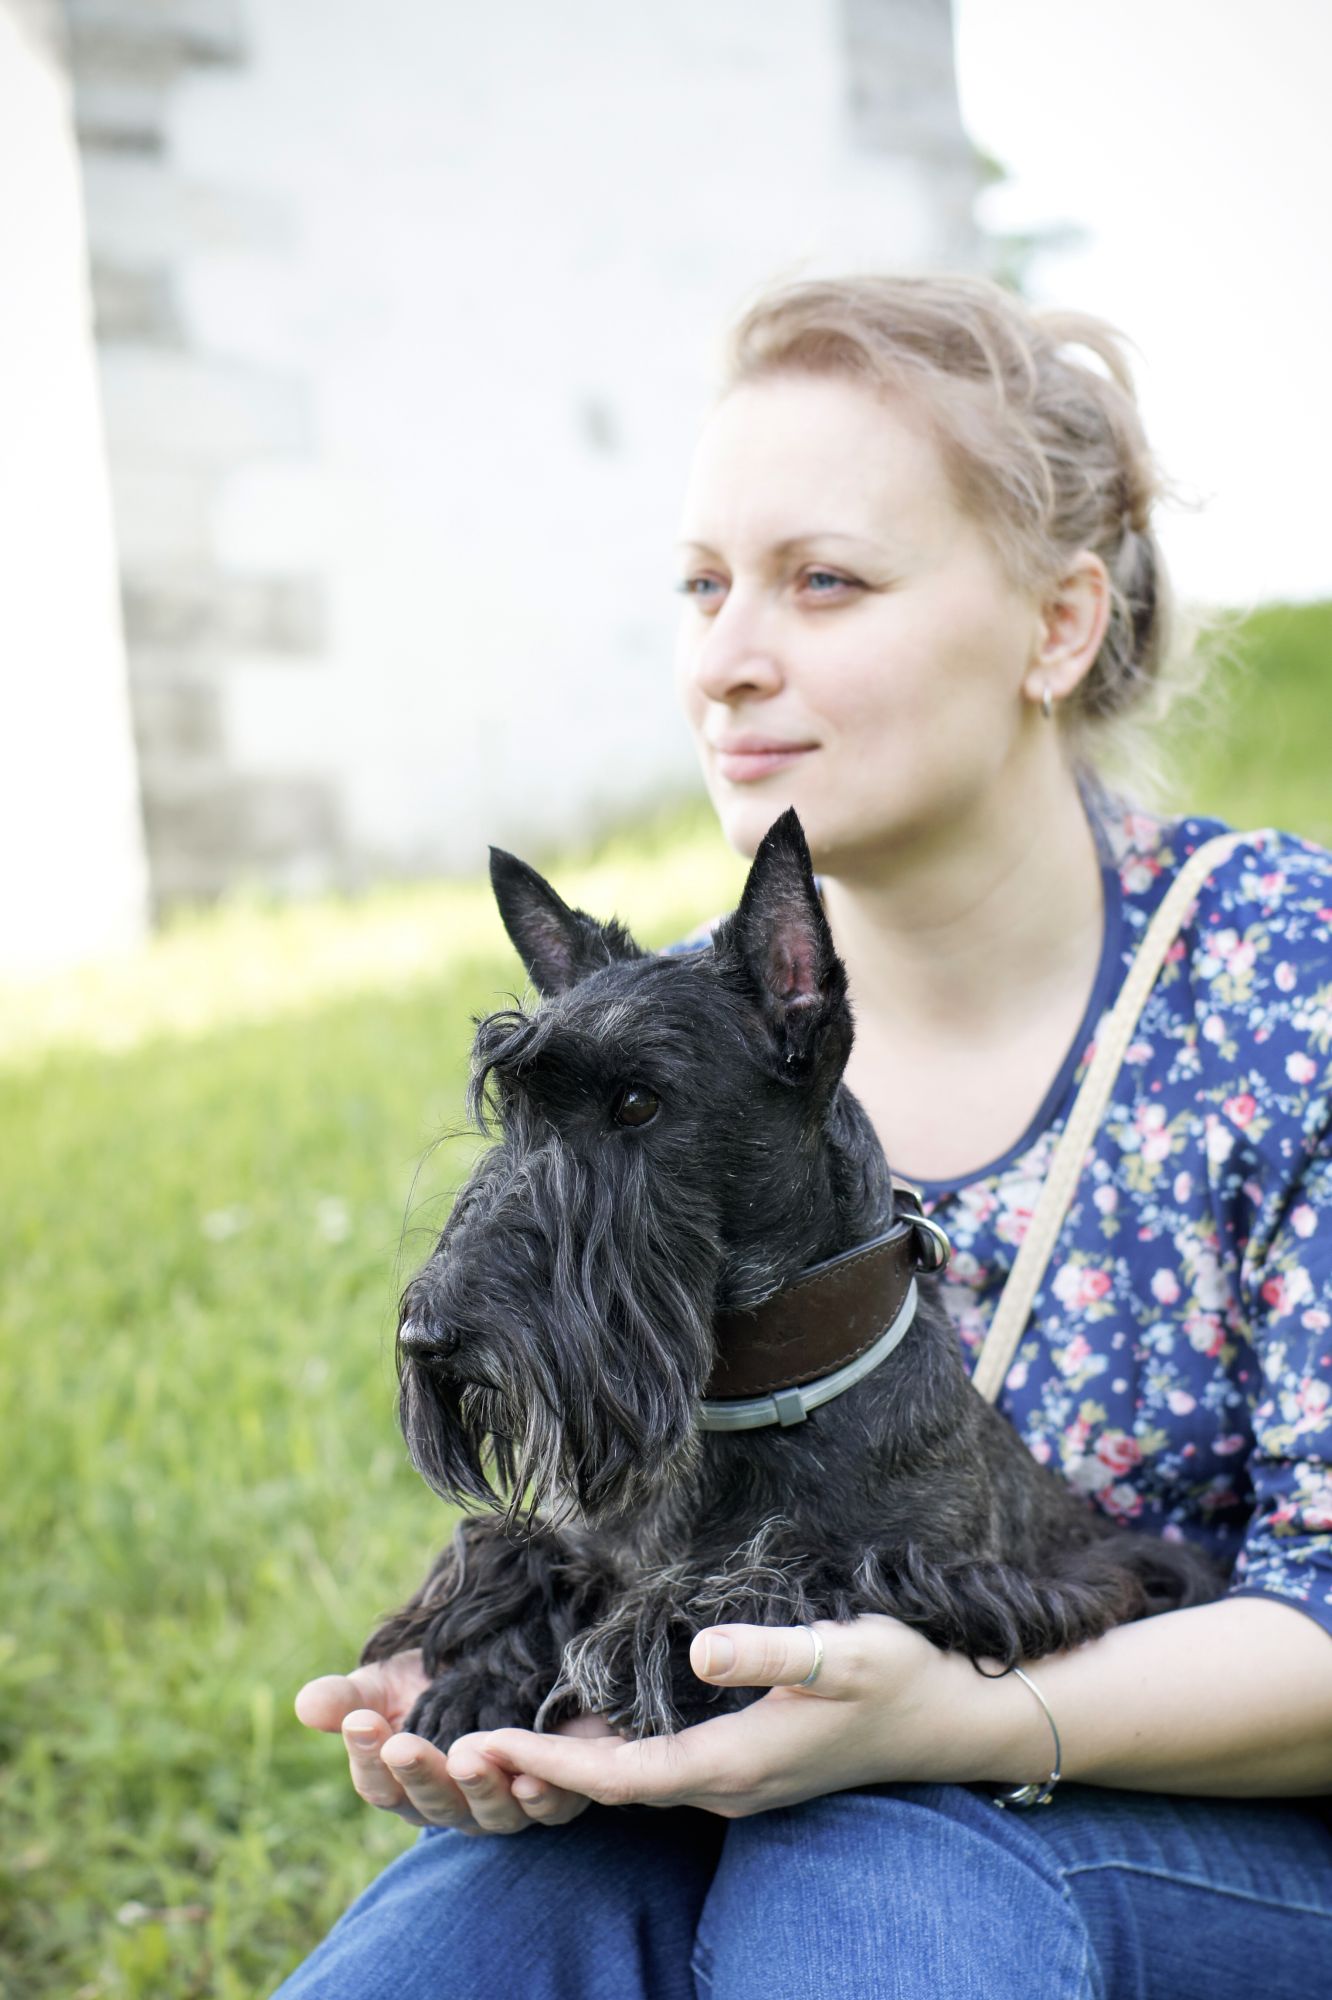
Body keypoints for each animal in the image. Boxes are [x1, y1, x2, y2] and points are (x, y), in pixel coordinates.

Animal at [363, 809, 1223, 1745]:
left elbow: (778, 1579)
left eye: (636, 1103)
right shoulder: (584, 1544)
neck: (755, 1396)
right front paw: (477, 1679)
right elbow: (520, 1561)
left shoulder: (957, 1572)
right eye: (513, 1108)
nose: (428, 1338)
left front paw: (643, 1640)